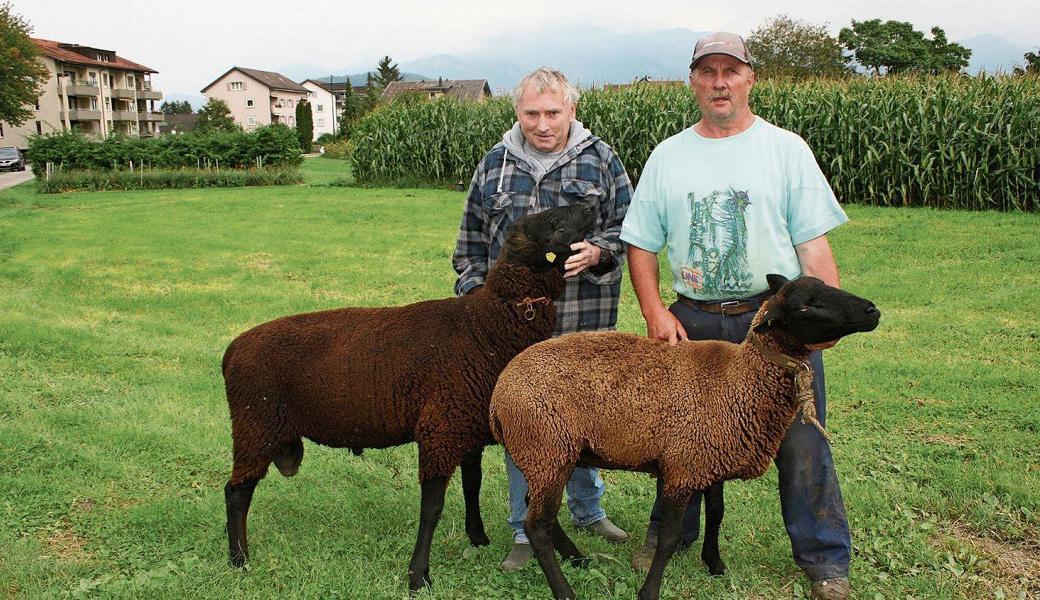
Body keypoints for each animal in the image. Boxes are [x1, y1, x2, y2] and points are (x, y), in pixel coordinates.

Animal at [221, 201, 594, 590]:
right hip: (256, 425)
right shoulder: (440, 429)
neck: (486, 327)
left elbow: (471, 484)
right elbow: (432, 507)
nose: (588, 205)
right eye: (551, 222)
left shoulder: (467, 426)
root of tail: (232, 350)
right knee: (236, 492)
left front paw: (478, 537)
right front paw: (419, 575)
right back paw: (239, 559)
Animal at [486, 274, 877, 594]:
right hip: (547, 447)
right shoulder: (681, 469)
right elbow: (669, 538)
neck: (738, 380)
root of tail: (500, 392)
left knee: (536, 511)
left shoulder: (711, 459)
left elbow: (716, 513)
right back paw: (566, 590)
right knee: (537, 526)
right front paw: (649, 591)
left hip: (548, 455)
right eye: (808, 305)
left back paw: (578, 558)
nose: (872, 310)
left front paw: (715, 564)